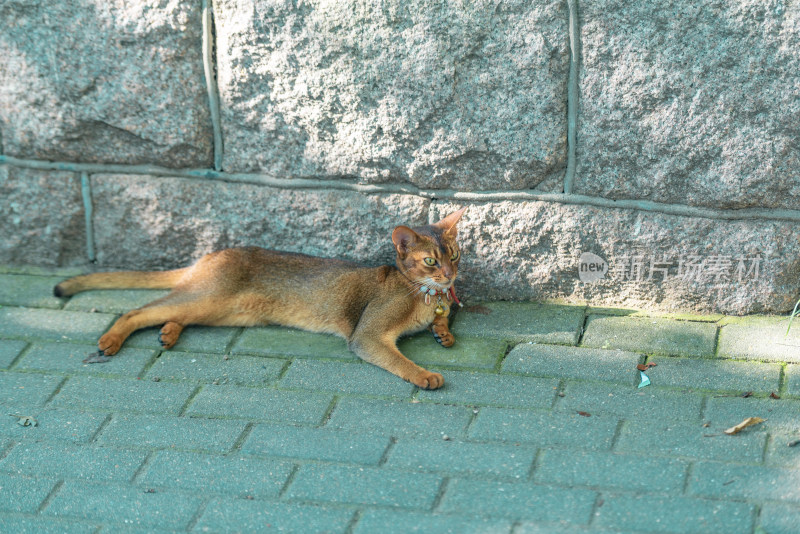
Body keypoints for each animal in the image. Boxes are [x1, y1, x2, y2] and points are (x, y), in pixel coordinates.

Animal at [53, 208, 466, 390]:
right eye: (431, 261)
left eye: (455, 254)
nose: (450, 275)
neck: (423, 295)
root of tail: (211, 255)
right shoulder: (367, 335)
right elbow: (398, 360)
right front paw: (425, 374)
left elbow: (444, 320)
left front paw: (443, 332)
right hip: (210, 297)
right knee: (136, 310)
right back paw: (110, 340)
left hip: (228, 311)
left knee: (172, 314)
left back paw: (168, 334)